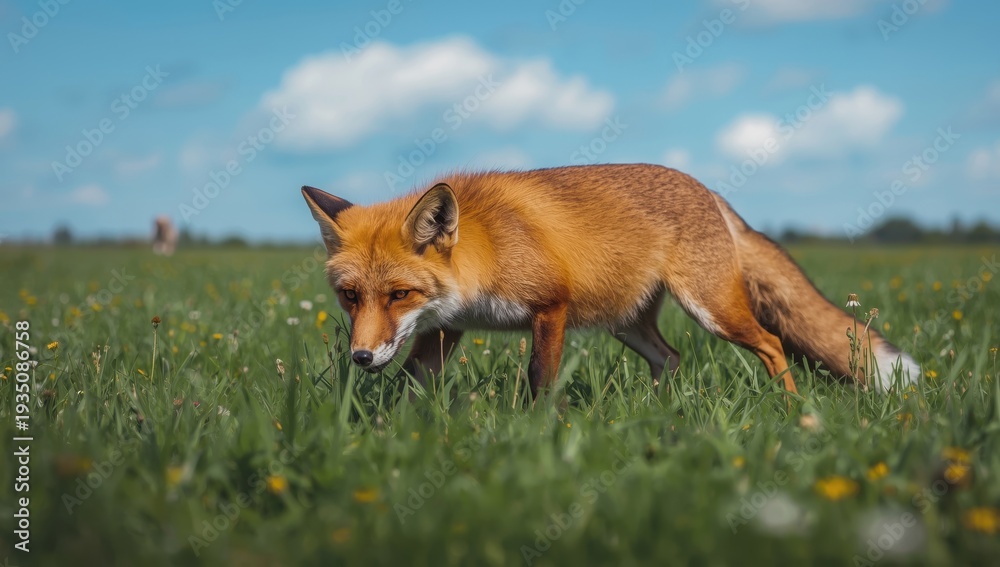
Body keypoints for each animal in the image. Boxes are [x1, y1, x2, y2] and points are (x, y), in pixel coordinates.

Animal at [301, 163, 919, 399]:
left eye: (399, 294)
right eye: (350, 296)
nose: (359, 357)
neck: (487, 251)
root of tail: (705, 188)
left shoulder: (550, 309)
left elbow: (540, 379)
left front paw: (538, 433)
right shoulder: (445, 329)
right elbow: (414, 386)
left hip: (714, 310)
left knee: (771, 345)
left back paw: (792, 412)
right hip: (626, 324)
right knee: (671, 357)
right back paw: (660, 415)